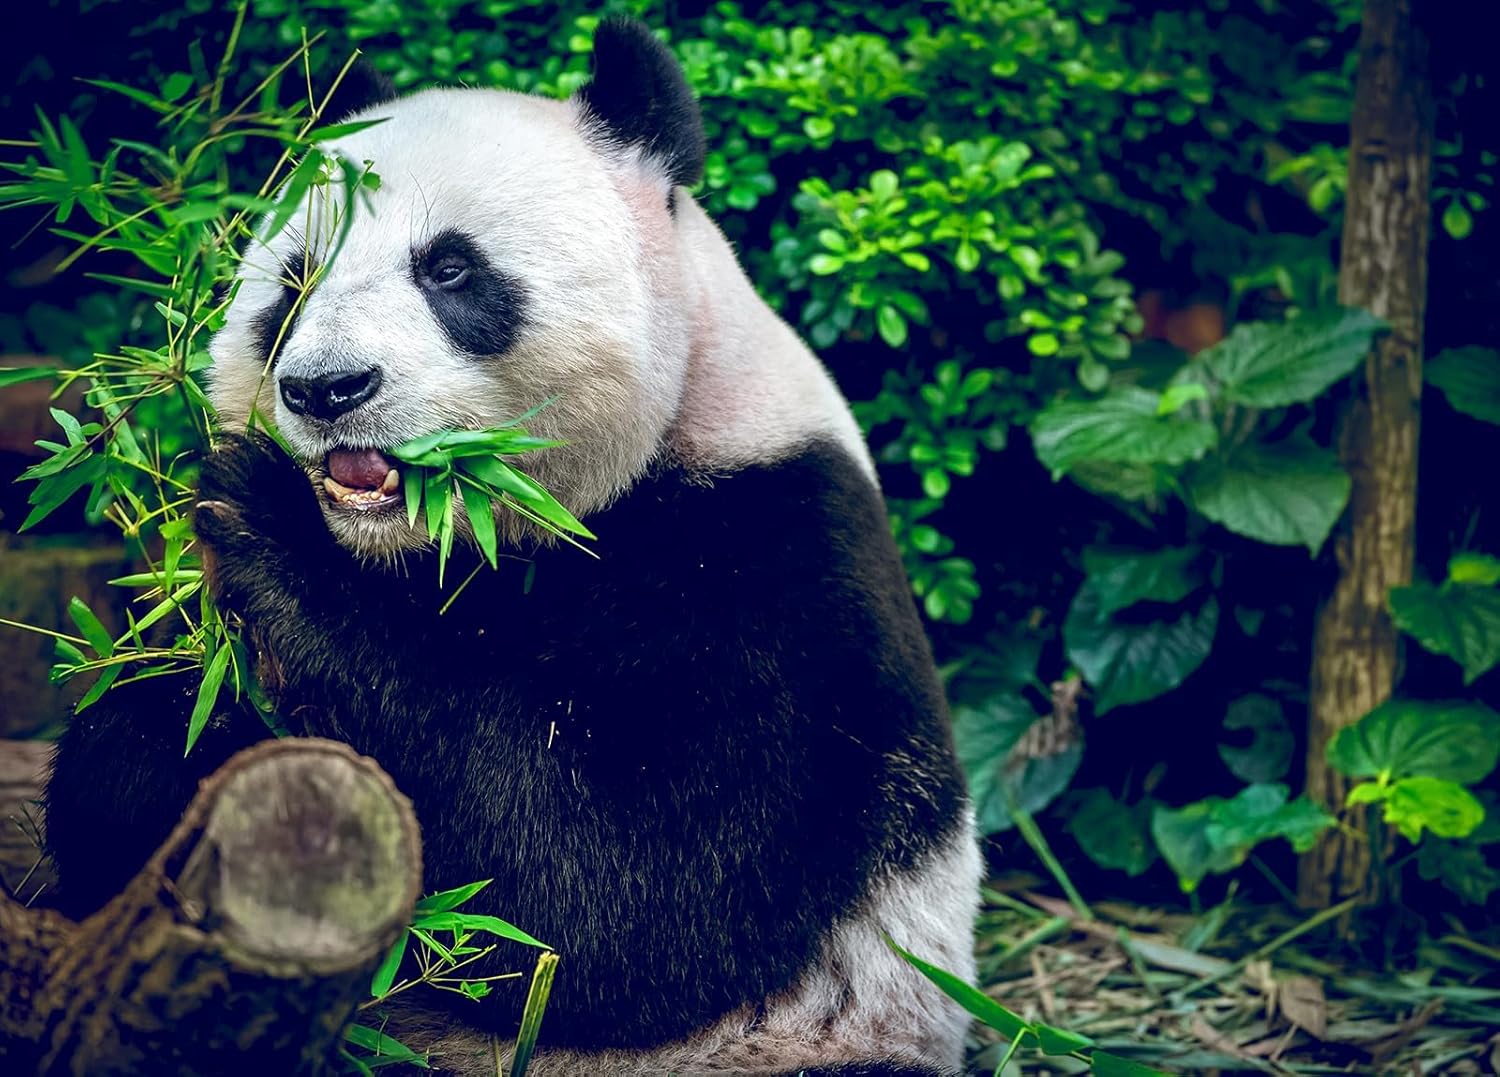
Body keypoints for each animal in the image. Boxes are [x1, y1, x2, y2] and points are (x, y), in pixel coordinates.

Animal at [43, 17, 980, 1076]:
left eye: (450, 269)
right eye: (296, 279)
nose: (326, 389)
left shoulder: (771, 560)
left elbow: (623, 896)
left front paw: (264, 519)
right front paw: (158, 744)